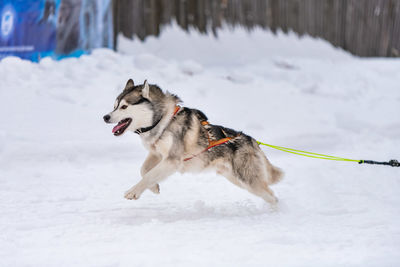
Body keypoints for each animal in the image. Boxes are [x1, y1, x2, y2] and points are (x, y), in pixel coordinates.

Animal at [104, 79, 284, 205]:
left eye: (124, 107)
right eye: (114, 106)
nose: (105, 117)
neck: (163, 121)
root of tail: (252, 141)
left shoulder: (172, 161)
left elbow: (149, 174)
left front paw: (133, 191)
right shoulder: (156, 154)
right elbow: (144, 170)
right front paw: (154, 187)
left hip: (248, 180)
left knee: (272, 196)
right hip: (237, 179)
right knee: (270, 195)